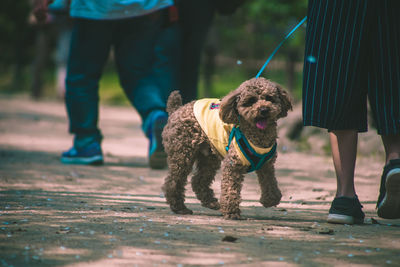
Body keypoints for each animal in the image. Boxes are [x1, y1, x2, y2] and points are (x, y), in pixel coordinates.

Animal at [161, 77, 292, 220]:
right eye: (251, 101)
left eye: (269, 98)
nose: (263, 110)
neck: (258, 138)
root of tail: (176, 110)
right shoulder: (233, 165)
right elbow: (230, 188)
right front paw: (232, 212)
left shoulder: (267, 165)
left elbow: (270, 183)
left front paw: (269, 200)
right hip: (182, 154)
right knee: (173, 181)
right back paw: (179, 207)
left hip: (209, 157)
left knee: (198, 181)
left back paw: (211, 203)